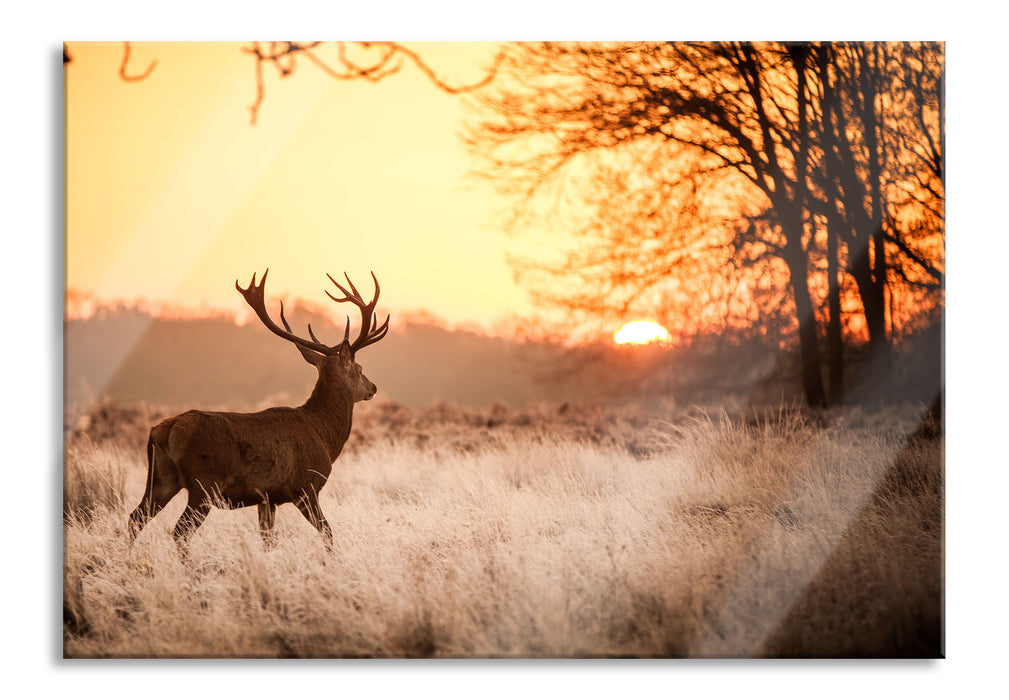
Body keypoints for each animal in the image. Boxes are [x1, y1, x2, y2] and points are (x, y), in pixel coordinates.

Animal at [128, 268, 387, 552]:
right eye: (360, 369)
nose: (373, 387)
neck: (324, 434)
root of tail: (164, 430)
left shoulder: (267, 498)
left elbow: (268, 540)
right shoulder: (305, 487)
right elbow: (328, 533)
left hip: (160, 478)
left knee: (135, 518)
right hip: (204, 483)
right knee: (179, 530)